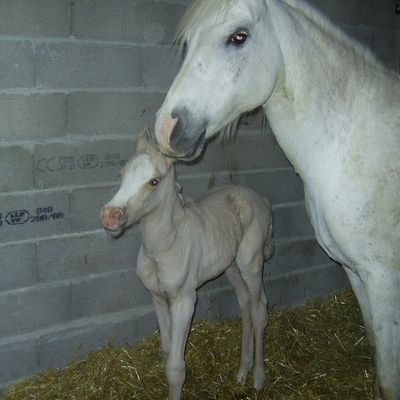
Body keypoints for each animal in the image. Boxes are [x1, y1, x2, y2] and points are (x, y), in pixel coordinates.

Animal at [101, 130, 276, 398]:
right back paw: (242, 371)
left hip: (251, 263)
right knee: (245, 303)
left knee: (259, 310)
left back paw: (258, 377)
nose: (110, 216)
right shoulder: (158, 297)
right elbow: (166, 349)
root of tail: (263, 200)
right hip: (231, 266)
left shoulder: (184, 300)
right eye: (122, 175)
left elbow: (175, 368)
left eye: (154, 181)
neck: (163, 245)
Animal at [153, 1, 400, 398]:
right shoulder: (356, 272)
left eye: (238, 36)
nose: (166, 129)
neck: (348, 145)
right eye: (188, 43)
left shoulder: (384, 279)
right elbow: (377, 354)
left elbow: (390, 378)